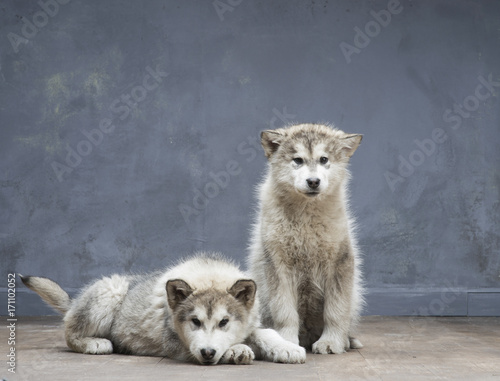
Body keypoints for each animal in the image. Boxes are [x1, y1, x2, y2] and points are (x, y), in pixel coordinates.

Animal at [249, 124, 364, 354]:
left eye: (323, 159)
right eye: (298, 160)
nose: (313, 181)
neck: (306, 219)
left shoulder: (340, 263)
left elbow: (336, 311)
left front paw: (331, 342)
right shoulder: (278, 266)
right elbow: (285, 312)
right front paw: (286, 341)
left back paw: (345, 341)